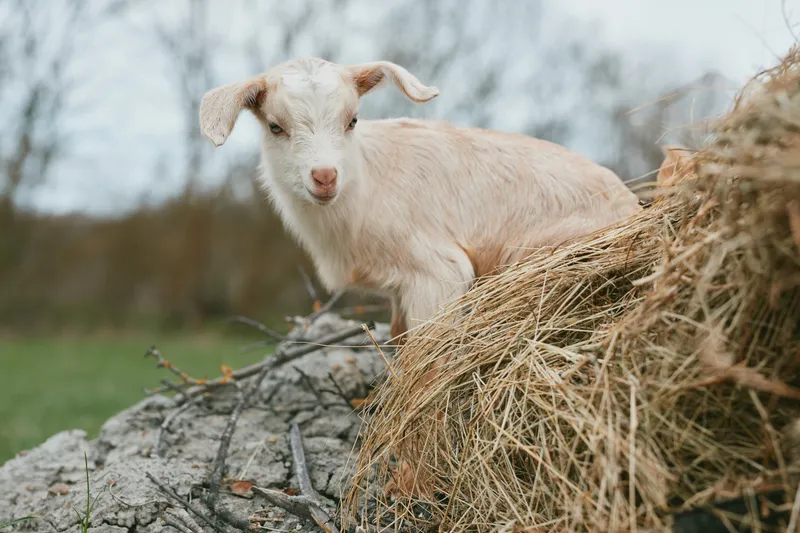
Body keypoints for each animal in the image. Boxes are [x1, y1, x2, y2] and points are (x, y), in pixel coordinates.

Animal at [199, 58, 642, 343]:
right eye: (276, 127)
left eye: (352, 120)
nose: (325, 177)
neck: (366, 186)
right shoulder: (399, 291)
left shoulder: (437, 275)